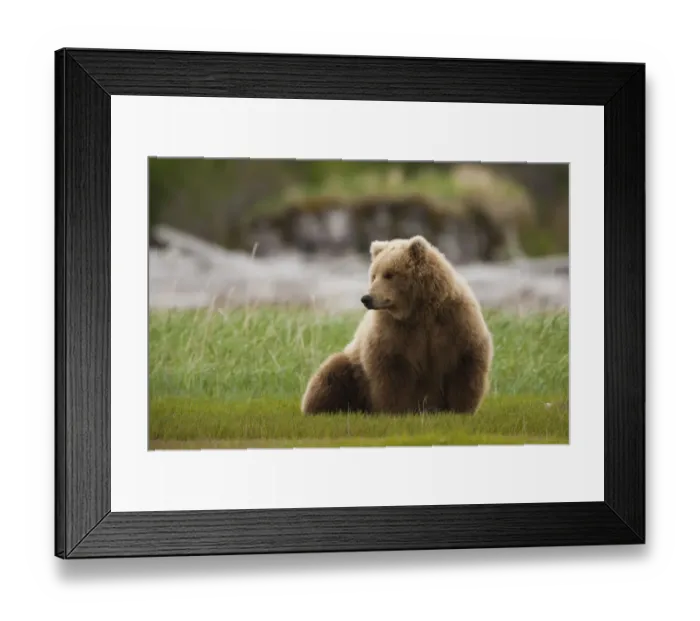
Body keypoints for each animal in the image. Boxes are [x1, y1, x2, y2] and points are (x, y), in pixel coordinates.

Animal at [301, 235, 494, 415]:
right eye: (373, 275)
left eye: (389, 274)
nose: (367, 298)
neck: (419, 311)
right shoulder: (392, 331)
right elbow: (390, 374)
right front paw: (395, 411)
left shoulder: (455, 323)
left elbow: (465, 365)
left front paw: (460, 409)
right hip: (353, 368)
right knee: (331, 373)